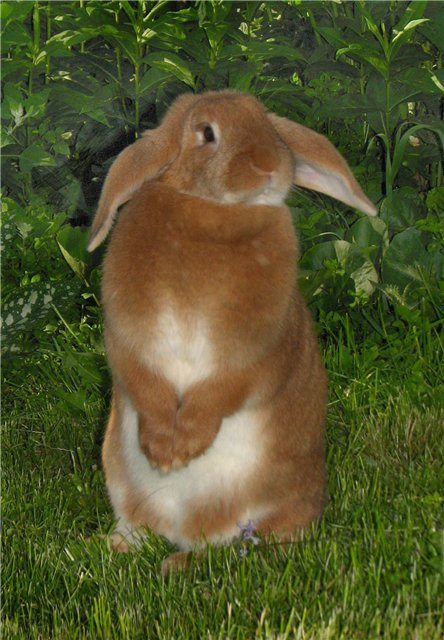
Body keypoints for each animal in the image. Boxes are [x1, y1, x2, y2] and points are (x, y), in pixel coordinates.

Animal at [88, 90, 377, 574]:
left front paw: (183, 449)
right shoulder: (128, 338)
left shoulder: (254, 354)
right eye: (207, 132)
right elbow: (145, 383)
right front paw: (163, 451)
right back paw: (121, 546)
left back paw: (178, 563)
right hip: (119, 477)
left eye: (268, 124)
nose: (269, 164)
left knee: (246, 548)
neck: (214, 210)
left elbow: (223, 392)